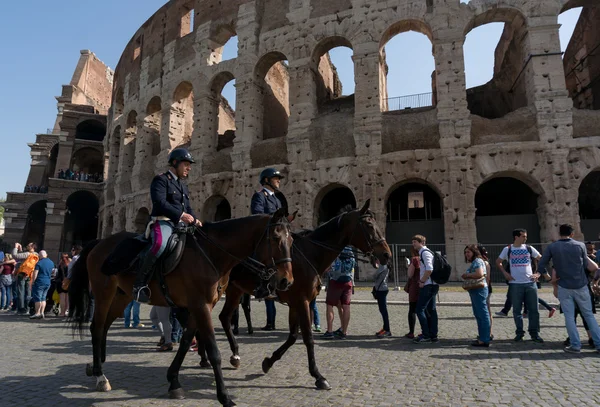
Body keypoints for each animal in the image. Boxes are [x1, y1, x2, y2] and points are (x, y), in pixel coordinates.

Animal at [67, 210, 292, 407]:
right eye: (275, 238)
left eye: (291, 241)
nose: (286, 281)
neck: (211, 254)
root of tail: (99, 242)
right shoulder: (200, 305)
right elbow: (213, 350)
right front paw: (224, 396)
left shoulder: (199, 306)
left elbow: (185, 342)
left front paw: (174, 380)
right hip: (103, 292)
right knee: (97, 328)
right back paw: (100, 376)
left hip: (122, 296)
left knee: (104, 326)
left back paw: (96, 364)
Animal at [171, 201, 392, 392]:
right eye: (369, 225)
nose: (387, 255)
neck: (310, 254)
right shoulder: (302, 301)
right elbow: (308, 338)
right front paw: (318, 376)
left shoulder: (298, 303)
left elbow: (293, 336)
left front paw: (269, 362)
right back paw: (208, 357)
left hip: (234, 290)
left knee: (223, 317)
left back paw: (227, 355)